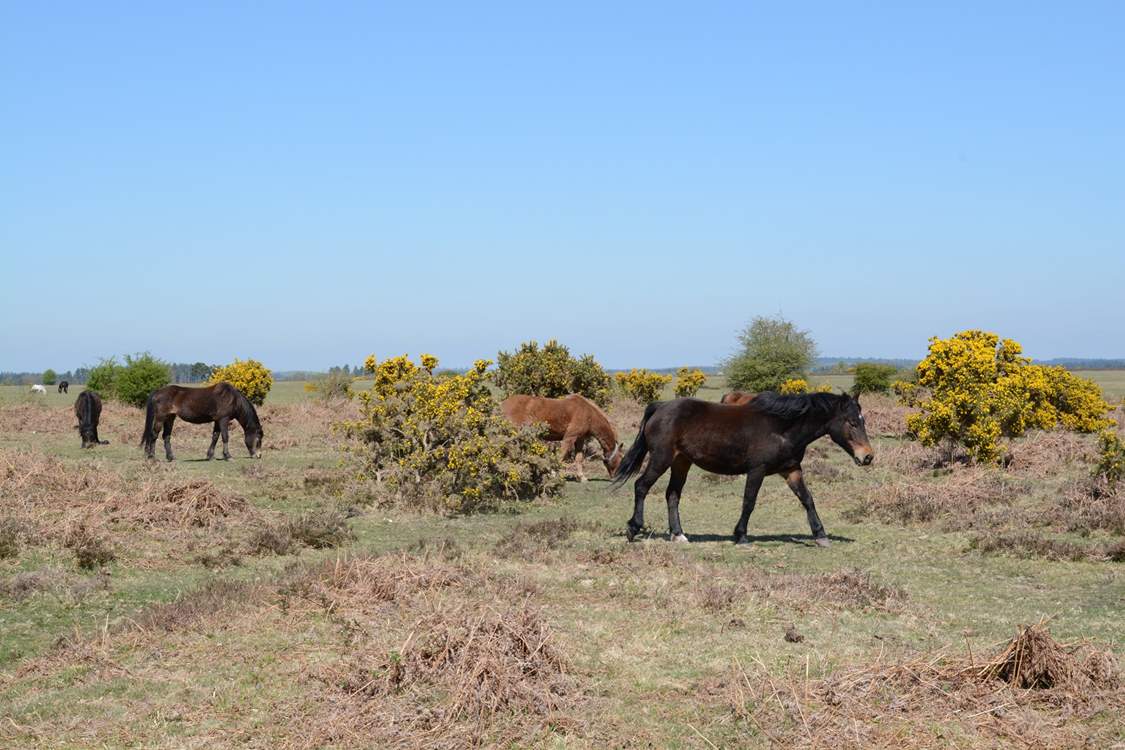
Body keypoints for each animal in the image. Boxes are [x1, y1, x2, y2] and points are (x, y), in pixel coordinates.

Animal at [613, 391, 873, 546]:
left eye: (863, 420)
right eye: (852, 422)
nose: (868, 457)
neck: (781, 428)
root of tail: (660, 407)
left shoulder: (791, 470)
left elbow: (807, 499)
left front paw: (821, 536)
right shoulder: (757, 470)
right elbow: (749, 501)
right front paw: (741, 536)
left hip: (681, 462)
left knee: (673, 495)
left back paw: (678, 535)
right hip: (662, 458)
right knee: (641, 486)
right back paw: (633, 529)